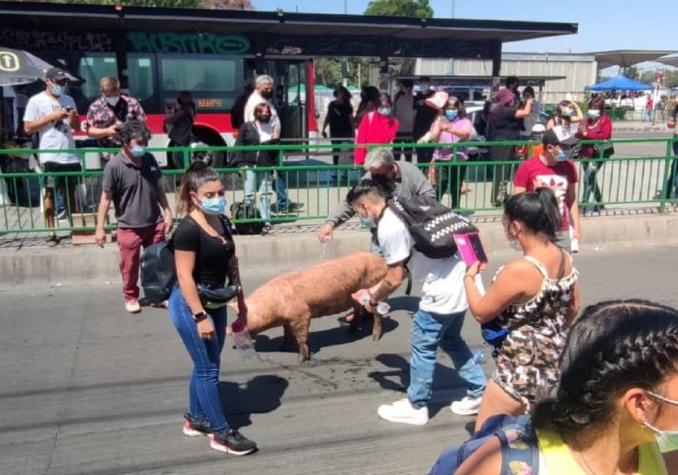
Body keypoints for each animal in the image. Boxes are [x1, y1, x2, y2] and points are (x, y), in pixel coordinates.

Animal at [239, 253, 388, 360]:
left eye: (244, 317)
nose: (236, 345)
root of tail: (382, 262)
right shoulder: (288, 319)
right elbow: (287, 332)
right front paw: (282, 347)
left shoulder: (302, 315)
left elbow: (301, 338)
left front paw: (300, 360)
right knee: (358, 310)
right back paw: (350, 331)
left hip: (374, 290)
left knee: (377, 315)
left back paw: (374, 338)